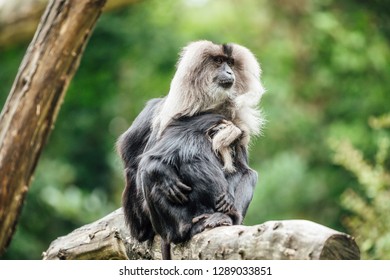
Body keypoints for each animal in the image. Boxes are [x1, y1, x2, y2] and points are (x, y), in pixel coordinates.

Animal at [116, 40, 266, 256]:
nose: (229, 72)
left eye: (230, 62)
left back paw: (224, 217)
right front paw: (164, 174)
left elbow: (242, 169)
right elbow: (143, 160)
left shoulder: (237, 127)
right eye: (218, 61)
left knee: (249, 174)